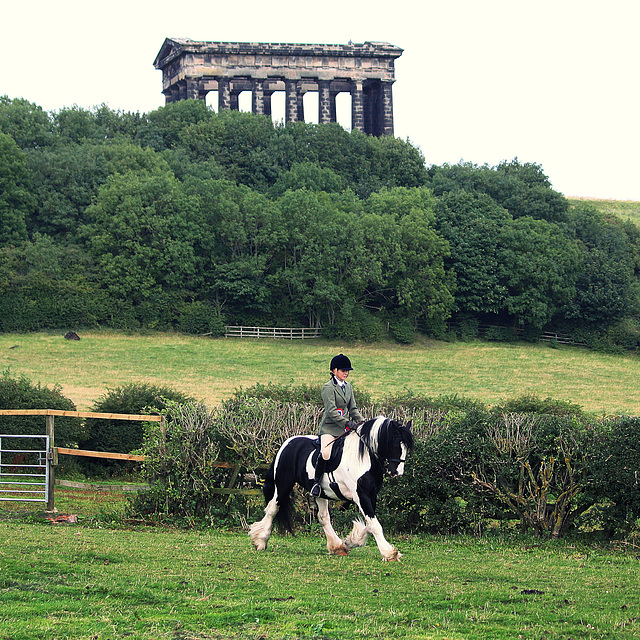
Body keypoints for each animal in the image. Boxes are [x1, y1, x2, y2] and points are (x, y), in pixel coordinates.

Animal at [248, 416, 412, 560]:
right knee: (273, 508)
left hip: (320, 492)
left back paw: (337, 547)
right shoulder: (361, 495)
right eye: (396, 443)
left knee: (323, 517)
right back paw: (260, 541)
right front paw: (389, 553)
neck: (364, 458)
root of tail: (288, 443)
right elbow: (374, 524)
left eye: (407, 447)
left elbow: (369, 522)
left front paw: (351, 541)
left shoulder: (371, 496)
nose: (397, 472)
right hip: (283, 484)